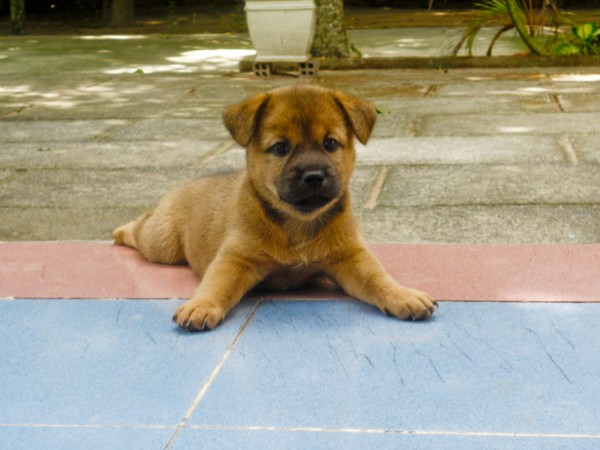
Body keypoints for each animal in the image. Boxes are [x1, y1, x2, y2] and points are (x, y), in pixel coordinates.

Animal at [115, 85, 436, 330]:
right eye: (281, 147)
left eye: (330, 143)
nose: (314, 176)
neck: (297, 226)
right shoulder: (235, 260)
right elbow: (216, 285)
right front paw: (201, 305)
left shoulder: (351, 257)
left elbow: (378, 279)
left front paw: (402, 295)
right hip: (162, 245)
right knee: (142, 227)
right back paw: (121, 231)